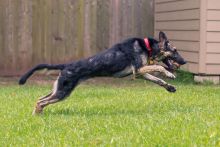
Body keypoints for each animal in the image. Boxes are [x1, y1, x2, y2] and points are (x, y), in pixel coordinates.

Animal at [19, 31, 186, 113]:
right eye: (175, 50)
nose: (185, 62)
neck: (149, 47)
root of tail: (66, 65)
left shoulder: (140, 73)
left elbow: (158, 80)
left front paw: (170, 87)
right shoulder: (138, 70)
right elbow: (160, 67)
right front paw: (170, 74)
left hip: (58, 90)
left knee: (39, 99)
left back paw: (37, 115)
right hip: (62, 92)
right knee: (41, 102)